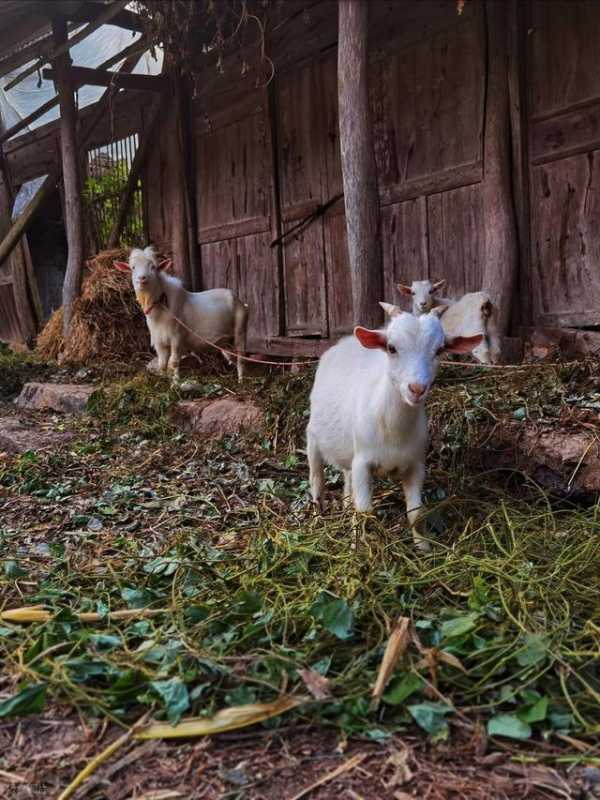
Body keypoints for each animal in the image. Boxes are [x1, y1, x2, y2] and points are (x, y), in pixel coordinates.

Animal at [114, 246, 248, 382]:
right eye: (133, 268)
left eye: (153, 267)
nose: (142, 278)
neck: (161, 307)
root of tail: (239, 301)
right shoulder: (159, 342)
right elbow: (162, 364)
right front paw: (163, 380)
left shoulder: (176, 338)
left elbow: (173, 362)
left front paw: (175, 383)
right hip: (226, 341)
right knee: (232, 357)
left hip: (240, 330)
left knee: (241, 358)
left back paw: (241, 381)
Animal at [306, 304, 482, 550]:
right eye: (391, 348)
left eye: (439, 350)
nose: (416, 389)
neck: (393, 430)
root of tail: (345, 341)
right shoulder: (362, 462)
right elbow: (364, 512)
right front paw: (360, 549)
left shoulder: (416, 465)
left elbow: (416, 513)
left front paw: (423, 549)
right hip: (312, 437)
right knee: (316, 483)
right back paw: (317, 521)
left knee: (347, 485)